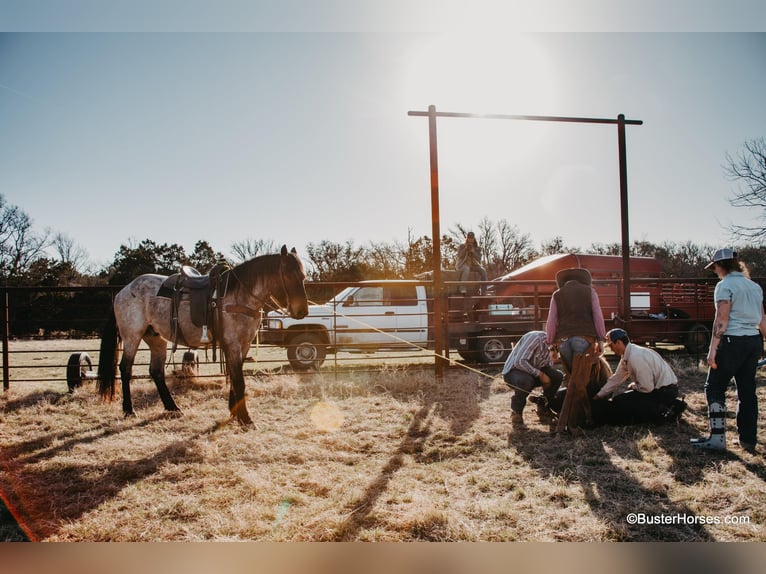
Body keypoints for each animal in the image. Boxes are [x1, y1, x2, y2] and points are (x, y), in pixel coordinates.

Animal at [98, 245, 308, 426]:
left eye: (303, 276)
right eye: (288, 275)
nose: (302, 311)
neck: (239, 296)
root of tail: (123, 291)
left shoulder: (244, 344)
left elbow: (235, 377)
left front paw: (234, 412)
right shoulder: (233, 344)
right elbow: (239, 381)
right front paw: (245, 419)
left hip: (156, 339)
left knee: (156, 371)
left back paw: (173, 408)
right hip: (132, 336)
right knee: (125, 369)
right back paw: (129, 410)